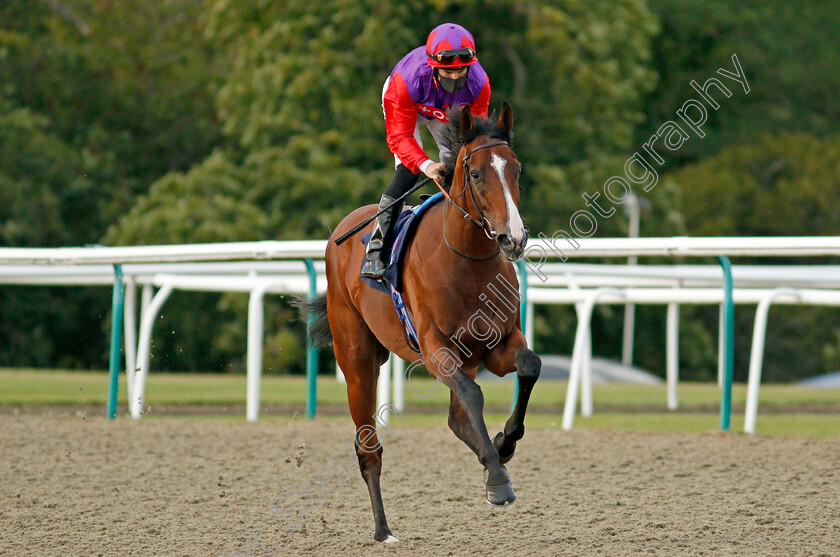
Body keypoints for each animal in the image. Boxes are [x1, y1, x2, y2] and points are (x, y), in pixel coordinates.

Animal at [302, 102, 540, 540]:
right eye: (476, 173)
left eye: (516, 169)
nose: (513, 238)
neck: (466, 263)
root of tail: (340, 233)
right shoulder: (435, 350)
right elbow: (473, 396)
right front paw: (498, 481)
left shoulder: (497, 344)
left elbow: (529, 366)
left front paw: (503, 445)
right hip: (357, 361)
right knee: (368, 447)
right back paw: (383, 530)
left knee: (456, 419)